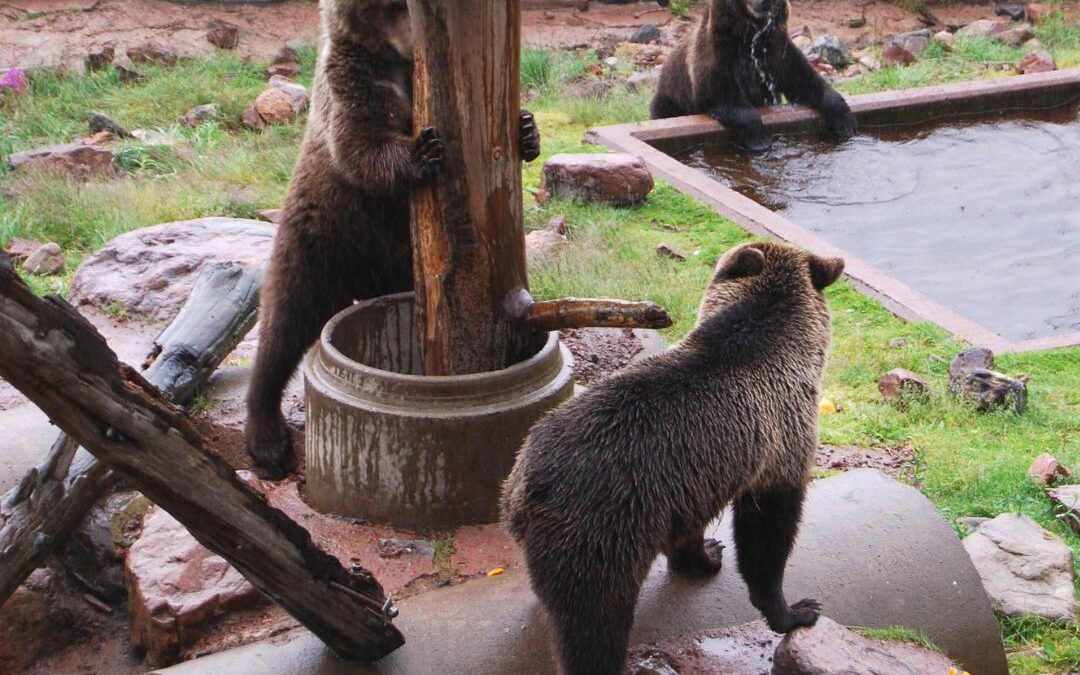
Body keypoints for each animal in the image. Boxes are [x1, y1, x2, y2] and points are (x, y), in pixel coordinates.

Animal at [244, 0, 541, 479]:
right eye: (392, 7)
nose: (411, 43)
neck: (396, 63)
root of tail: (356, 282)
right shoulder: (353, 79)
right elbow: (360, 142)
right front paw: (424, 149)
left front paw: (528, 129)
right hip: (318, 237)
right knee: (284, 323)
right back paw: (267, 441)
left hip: (397, 260)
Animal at [501, 240, 844, 675]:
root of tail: (527, 486)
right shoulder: (780, 444)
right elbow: (767, 535)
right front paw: (795, 610)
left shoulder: (691, 480)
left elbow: (692, 529)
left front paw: (706, 554)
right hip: (600, 534)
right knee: (594, 626)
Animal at [651, 0, 855, 153]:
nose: (765, 1)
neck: (750, 37)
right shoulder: (716, 55)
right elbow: (720, 96)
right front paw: (759, 140)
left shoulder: (776, 52)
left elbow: (804, 81)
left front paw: (844, 121)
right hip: (671, 100)